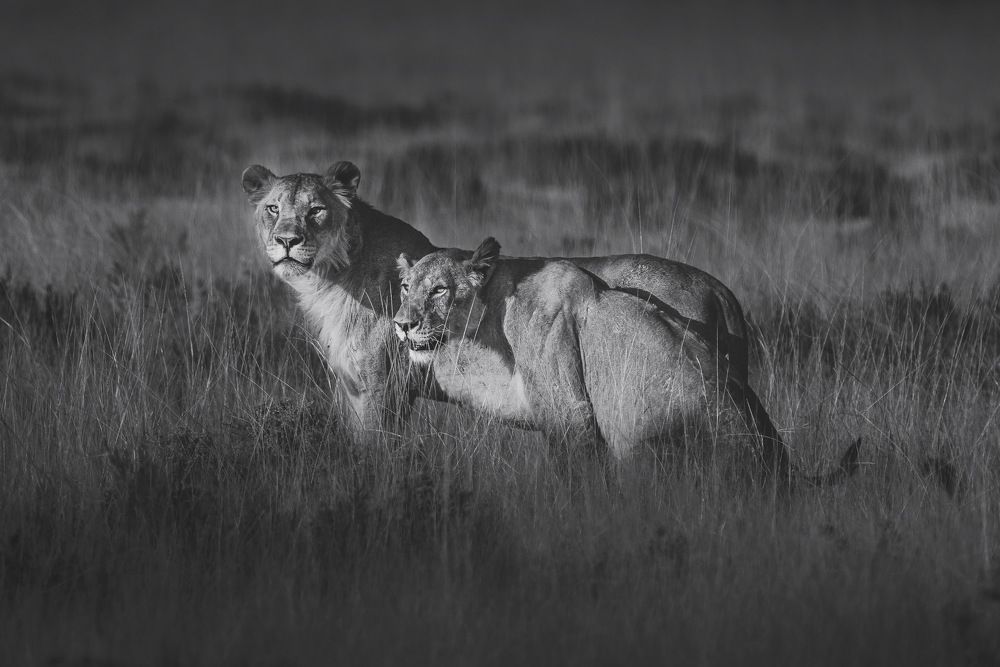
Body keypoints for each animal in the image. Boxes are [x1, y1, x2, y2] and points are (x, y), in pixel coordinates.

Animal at [240, 162, 752, 443]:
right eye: (273, 209)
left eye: (316, 210)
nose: (287, 241)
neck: (329, 283)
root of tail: (720, 289)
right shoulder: (349, 387)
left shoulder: (385, 387)